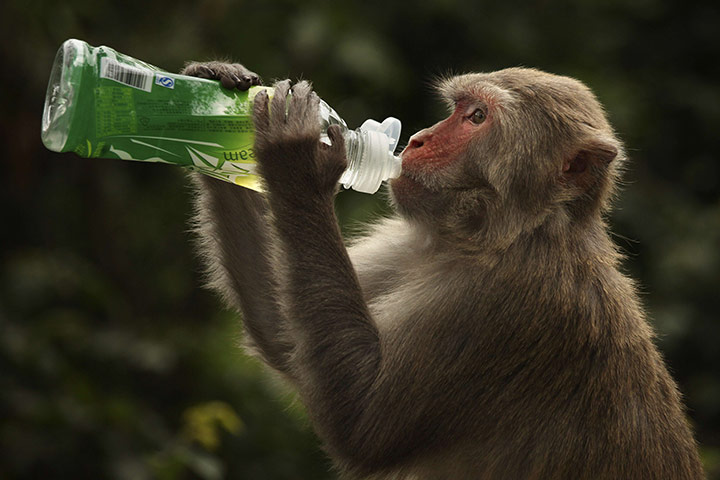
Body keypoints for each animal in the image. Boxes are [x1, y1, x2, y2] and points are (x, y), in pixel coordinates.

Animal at [183, 62, 705, 479]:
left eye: (477, 118)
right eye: (458, 108)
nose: (417, 140)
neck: (504, 236)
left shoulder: (508, 303)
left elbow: (360, 423)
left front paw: (298, 158)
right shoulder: (410, 241)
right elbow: (283, 334)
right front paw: (214, 88)